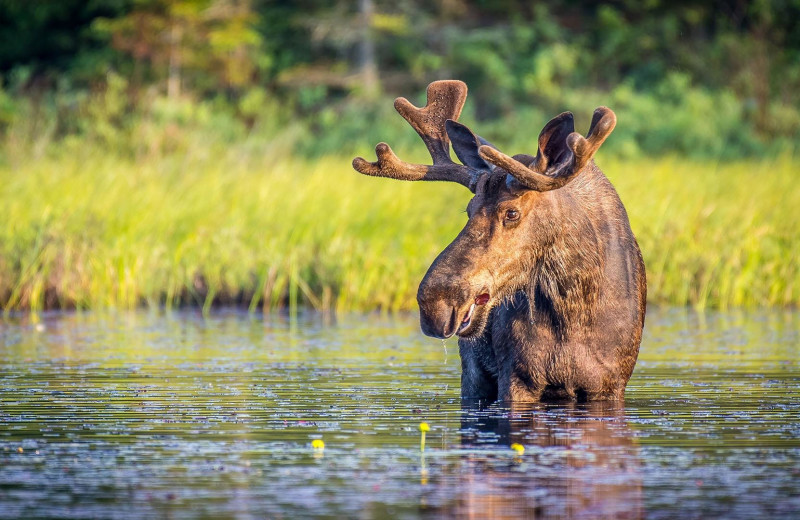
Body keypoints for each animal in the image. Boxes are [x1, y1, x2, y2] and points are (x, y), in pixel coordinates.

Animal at [354, 80, 648, 402]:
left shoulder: (610, 384)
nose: (435, 303)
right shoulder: (517, 377)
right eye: (469, 209)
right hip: (473, 374)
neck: (575, 309)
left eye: (511, 212)